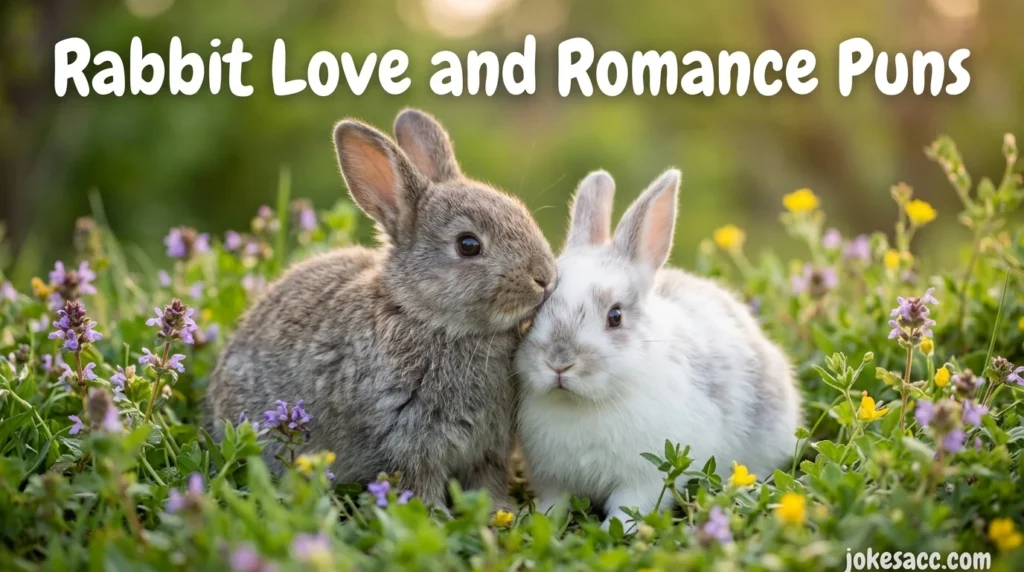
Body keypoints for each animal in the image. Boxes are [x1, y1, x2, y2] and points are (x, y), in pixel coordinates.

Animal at [206, 109, 557, 511]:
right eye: (468, 245)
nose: (545, 278)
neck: (428, 319)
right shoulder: (407, 441)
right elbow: (421, 485)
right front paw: (435, 515)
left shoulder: (490, 447)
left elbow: (488, 482)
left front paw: (499, 511)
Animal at [515, 169, 802, 529]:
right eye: (536, 309)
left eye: (615, 316)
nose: (558, 362)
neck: (581, 403)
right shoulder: (553, 479)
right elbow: (556, 503)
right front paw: (537, 520)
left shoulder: (643, 481)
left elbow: (627, 508)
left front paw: (615, 530)